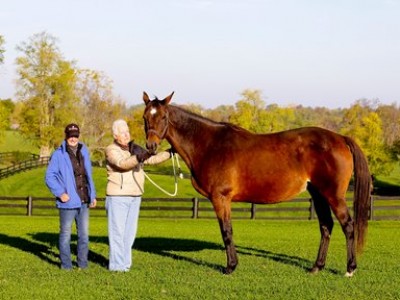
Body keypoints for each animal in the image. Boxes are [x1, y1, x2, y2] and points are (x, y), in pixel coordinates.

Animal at [141, 91, 372, 276]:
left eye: (163, 116)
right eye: (145, 117)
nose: (151, 146)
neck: (209, 144)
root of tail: (341, 138)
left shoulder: (220, 198)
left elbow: (226, 231)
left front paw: (230, 267)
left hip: (333, 195)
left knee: (347, 225)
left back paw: (350, 269)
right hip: (318, 194)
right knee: (326, 226)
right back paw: (317, 267)